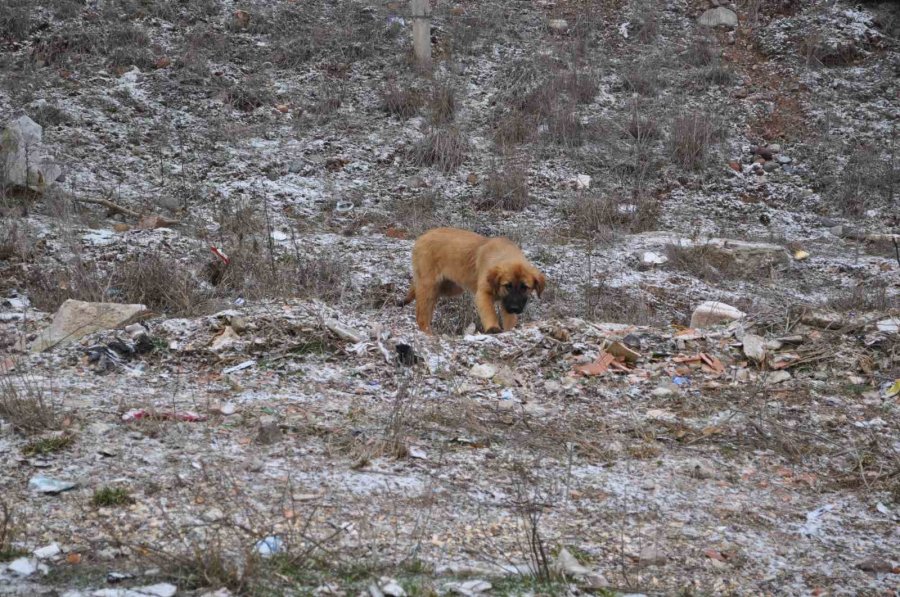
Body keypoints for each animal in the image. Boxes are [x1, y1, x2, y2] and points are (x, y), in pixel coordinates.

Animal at [402, 227, 544, 332]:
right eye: (508, 285)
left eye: (524, 287)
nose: (515, 308)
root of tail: (423, 236)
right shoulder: (483, 295)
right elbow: (489, 312)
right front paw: (493, 328)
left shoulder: (507, 303)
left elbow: (509, 320)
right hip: (429, 286)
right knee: (421, 317)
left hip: (447, 288)